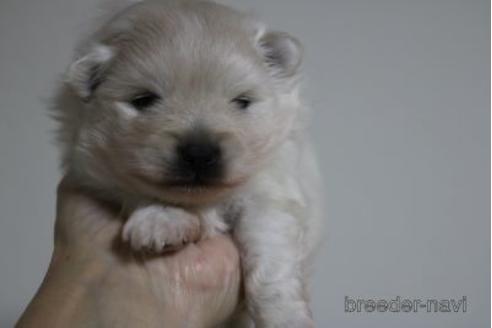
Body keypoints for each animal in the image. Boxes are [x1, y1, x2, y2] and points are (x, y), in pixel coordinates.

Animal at [52, 0, 322, 326]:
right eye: (144, 100)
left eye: (241, 102)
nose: (199, 153)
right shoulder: (95, 174)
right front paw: (163, 220)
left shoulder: (271, 190)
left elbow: (270, 255)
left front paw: (286, 316)